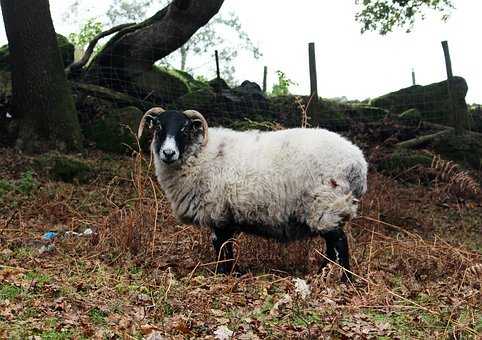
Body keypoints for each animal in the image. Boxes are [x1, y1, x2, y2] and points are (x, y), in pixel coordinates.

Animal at [137, 107, 368, 280]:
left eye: (184, 128)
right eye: (158, 126)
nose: (168, 153)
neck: (199, 153)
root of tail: (359, 164)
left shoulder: (217, 212)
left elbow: (220, 246)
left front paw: (221, 274)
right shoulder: (226, 216)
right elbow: (227, 247)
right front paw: (230, 272)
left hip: (326, 204)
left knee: (340, 243)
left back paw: (346, 280)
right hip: (326, 209)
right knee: (331, 246)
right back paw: (320, 274)